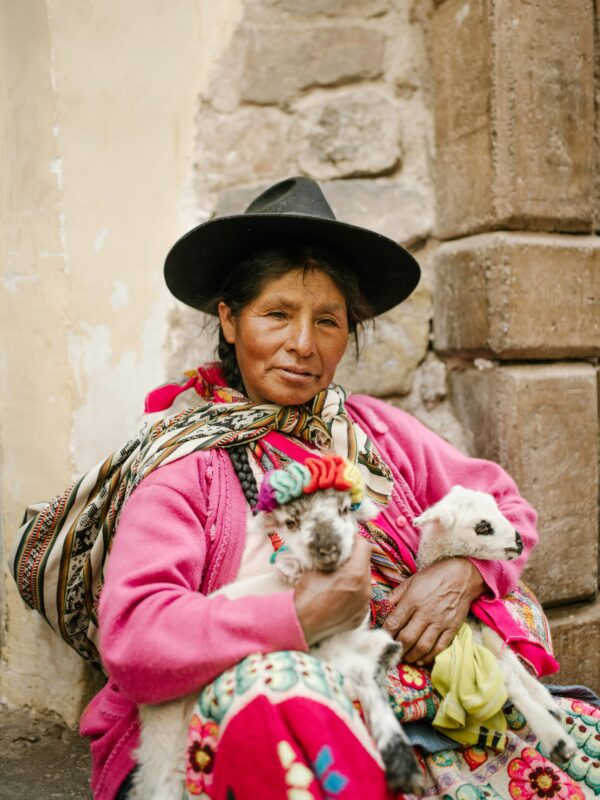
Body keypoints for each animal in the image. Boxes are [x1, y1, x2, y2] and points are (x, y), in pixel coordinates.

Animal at [131, 466, 422, 796]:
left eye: (344, 510)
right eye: (291, 523)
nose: (327, 548)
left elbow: (377, 661)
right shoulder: (329, 647)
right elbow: (364, 675)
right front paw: (402, 766)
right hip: (166, 729)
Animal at [412, 484, 576, 764]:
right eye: (482, 527)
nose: (519, 540)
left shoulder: (488, 633)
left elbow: (514, 665)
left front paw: (548, 704)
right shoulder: (475, 643)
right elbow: (509, 681)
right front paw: (557, 740)